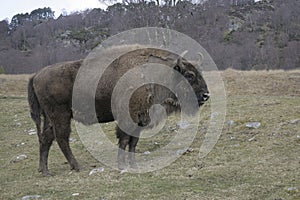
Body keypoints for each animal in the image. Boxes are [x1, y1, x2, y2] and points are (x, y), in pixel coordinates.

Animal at [28, 46, 209, 175]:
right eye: (190, 75)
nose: (206, 95)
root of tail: (36, 75)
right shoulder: (128, 118)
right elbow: (124, 140)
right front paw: (122, 165)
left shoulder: (140, 119)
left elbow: (133, 142)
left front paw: (133, 164)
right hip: (61, 115)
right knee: (61, 138)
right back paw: (76, 166)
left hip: (50, 117)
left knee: (46, 138)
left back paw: (45, 171)